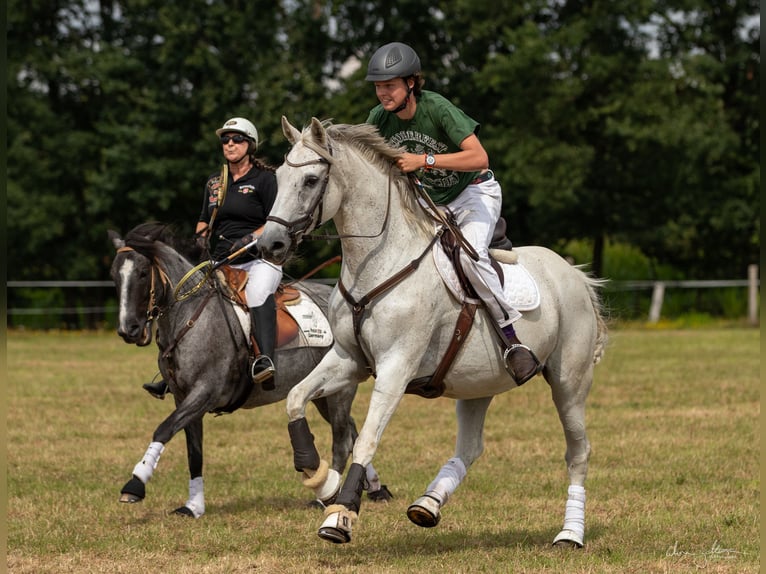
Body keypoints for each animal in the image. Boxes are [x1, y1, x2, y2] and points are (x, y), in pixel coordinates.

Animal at [108, 224, 390, 516]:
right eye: (114, 275)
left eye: (143, 273)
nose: (128, 330)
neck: (188, 316)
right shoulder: (183, 397)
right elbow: (193, 452)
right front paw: (193, 506)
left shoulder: (204, 392)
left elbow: (163, 429)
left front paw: (135, 484)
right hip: (321, 391)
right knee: (351, 431)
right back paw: (374, 487)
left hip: (339, 392)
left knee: (342, 440)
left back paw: (328, 497)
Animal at [260, 117, 608, 548]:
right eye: (278, 178)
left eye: (310, 180)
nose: (269, 244)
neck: (376, 263)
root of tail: (574, 272)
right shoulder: (349, 360)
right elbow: (295, 398)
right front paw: (321, 478)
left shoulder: (396, 367)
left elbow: (367, 438)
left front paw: (341, 515)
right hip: (479, 382)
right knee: (471, 447)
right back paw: (427, 504)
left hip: (569, 381)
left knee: (578, 451)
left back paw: (570, 533)